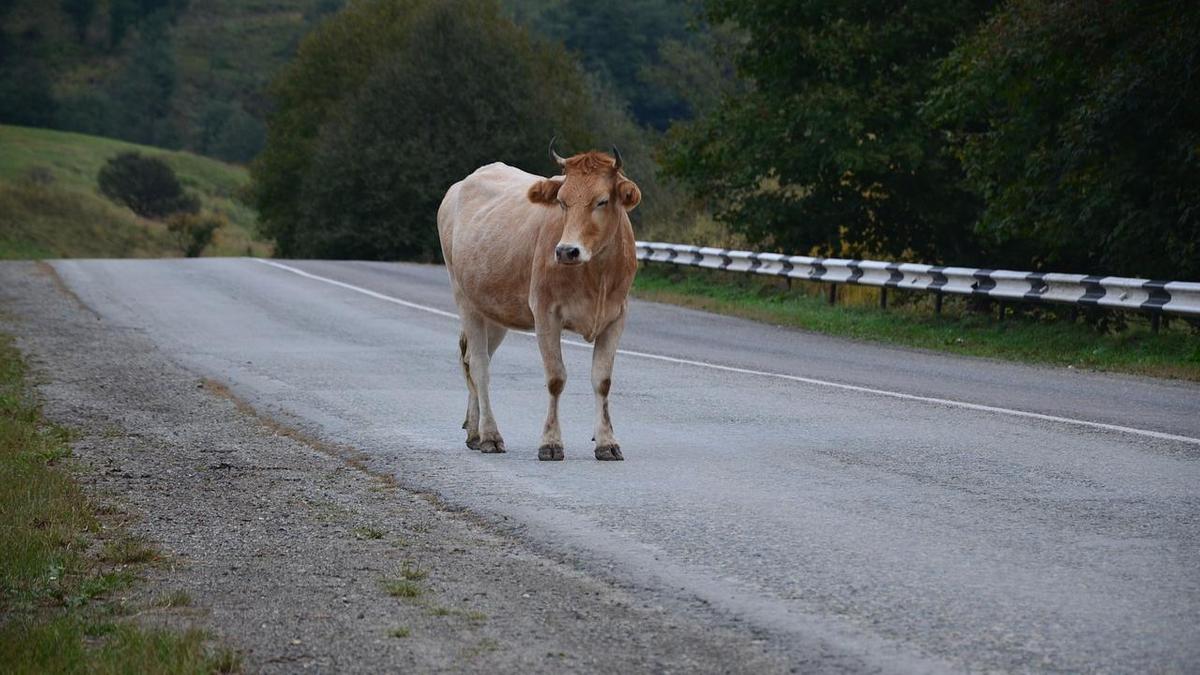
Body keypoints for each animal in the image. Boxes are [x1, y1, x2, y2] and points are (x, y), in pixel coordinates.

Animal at [439, 139, 643, 458]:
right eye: (562, 201)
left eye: (601, 201)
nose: (566, 251)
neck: (596, 275)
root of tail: (461, 184)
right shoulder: (546, 314)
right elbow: (556, 378)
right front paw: (551, 442)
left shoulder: (616, 317)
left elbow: (602, 381)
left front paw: (607, 442)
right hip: (464, 298)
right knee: (480, 365)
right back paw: (490, 435)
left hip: (494, 310)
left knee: (473, 359)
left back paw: (474, 431)